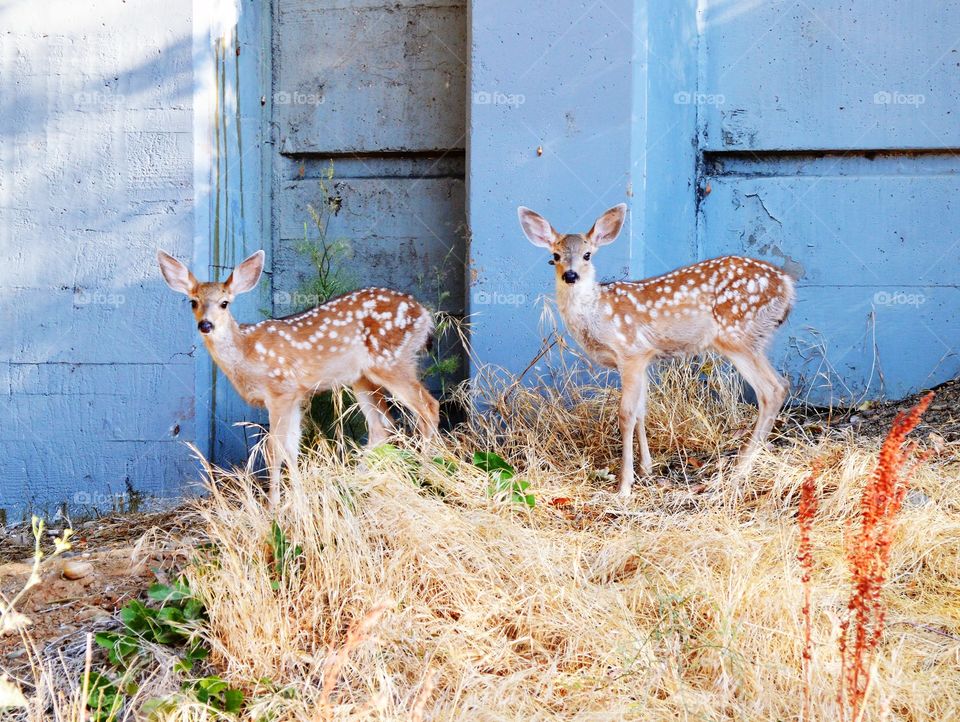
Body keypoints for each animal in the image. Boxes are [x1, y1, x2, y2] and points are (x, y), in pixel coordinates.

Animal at [157, 249, 440, 506]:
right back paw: (354, 482)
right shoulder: (294, 396)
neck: (247, 354)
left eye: (224, 303)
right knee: (382, 425)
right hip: (362, 377)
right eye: (193, 302)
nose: (206, 325)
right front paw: (298, 498)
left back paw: (425, 475)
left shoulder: (280, 390)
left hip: (391, 361)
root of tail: (424, 315)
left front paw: (273, 506)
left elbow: (274, 449)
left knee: (428, 406)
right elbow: (292, 448)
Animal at [517, 204, 795, 496]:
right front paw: (645, 468)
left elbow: (626, 414)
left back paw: (739, 471)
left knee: (773, 389)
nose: (570, 275)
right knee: (778, 386)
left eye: (587, 254)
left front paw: (624, 485)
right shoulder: (644, 358)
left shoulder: (631, 352)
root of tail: (787, 285)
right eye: (555, 255)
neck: (597, 313)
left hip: (737, 336)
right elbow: (641, 411)